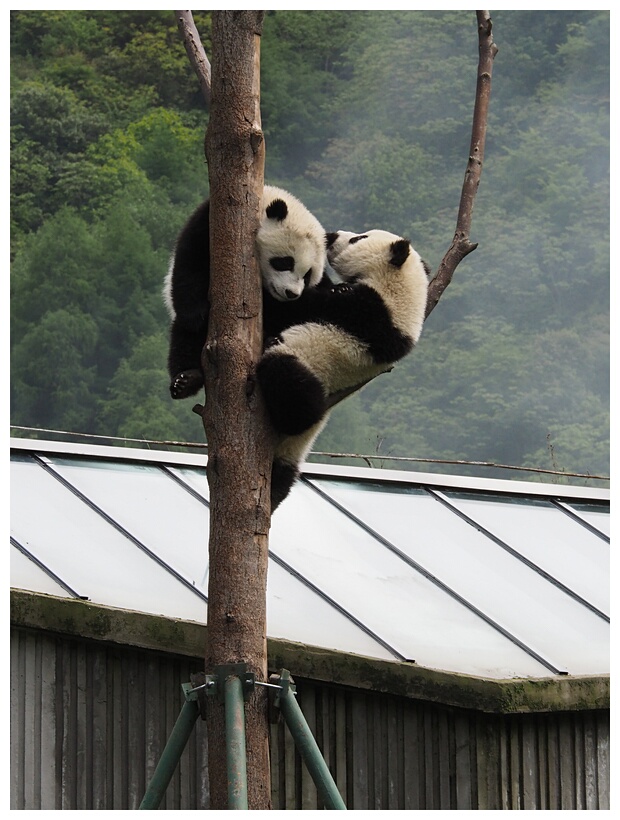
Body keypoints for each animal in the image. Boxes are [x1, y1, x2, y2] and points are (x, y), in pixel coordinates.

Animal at [163, 187, 330, 404]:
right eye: (285, 262)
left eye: (308, 274)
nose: (291, 293)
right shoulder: (209, 221)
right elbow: (191, 261)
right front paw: (196, 316)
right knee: (183, 339)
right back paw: (185, 380)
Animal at [254, 229, 428, 512]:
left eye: (359, 238)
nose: (331, 235)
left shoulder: (368, 312)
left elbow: (301, 306)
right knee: (282, 478)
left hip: (305, 370)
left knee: (293, 393)